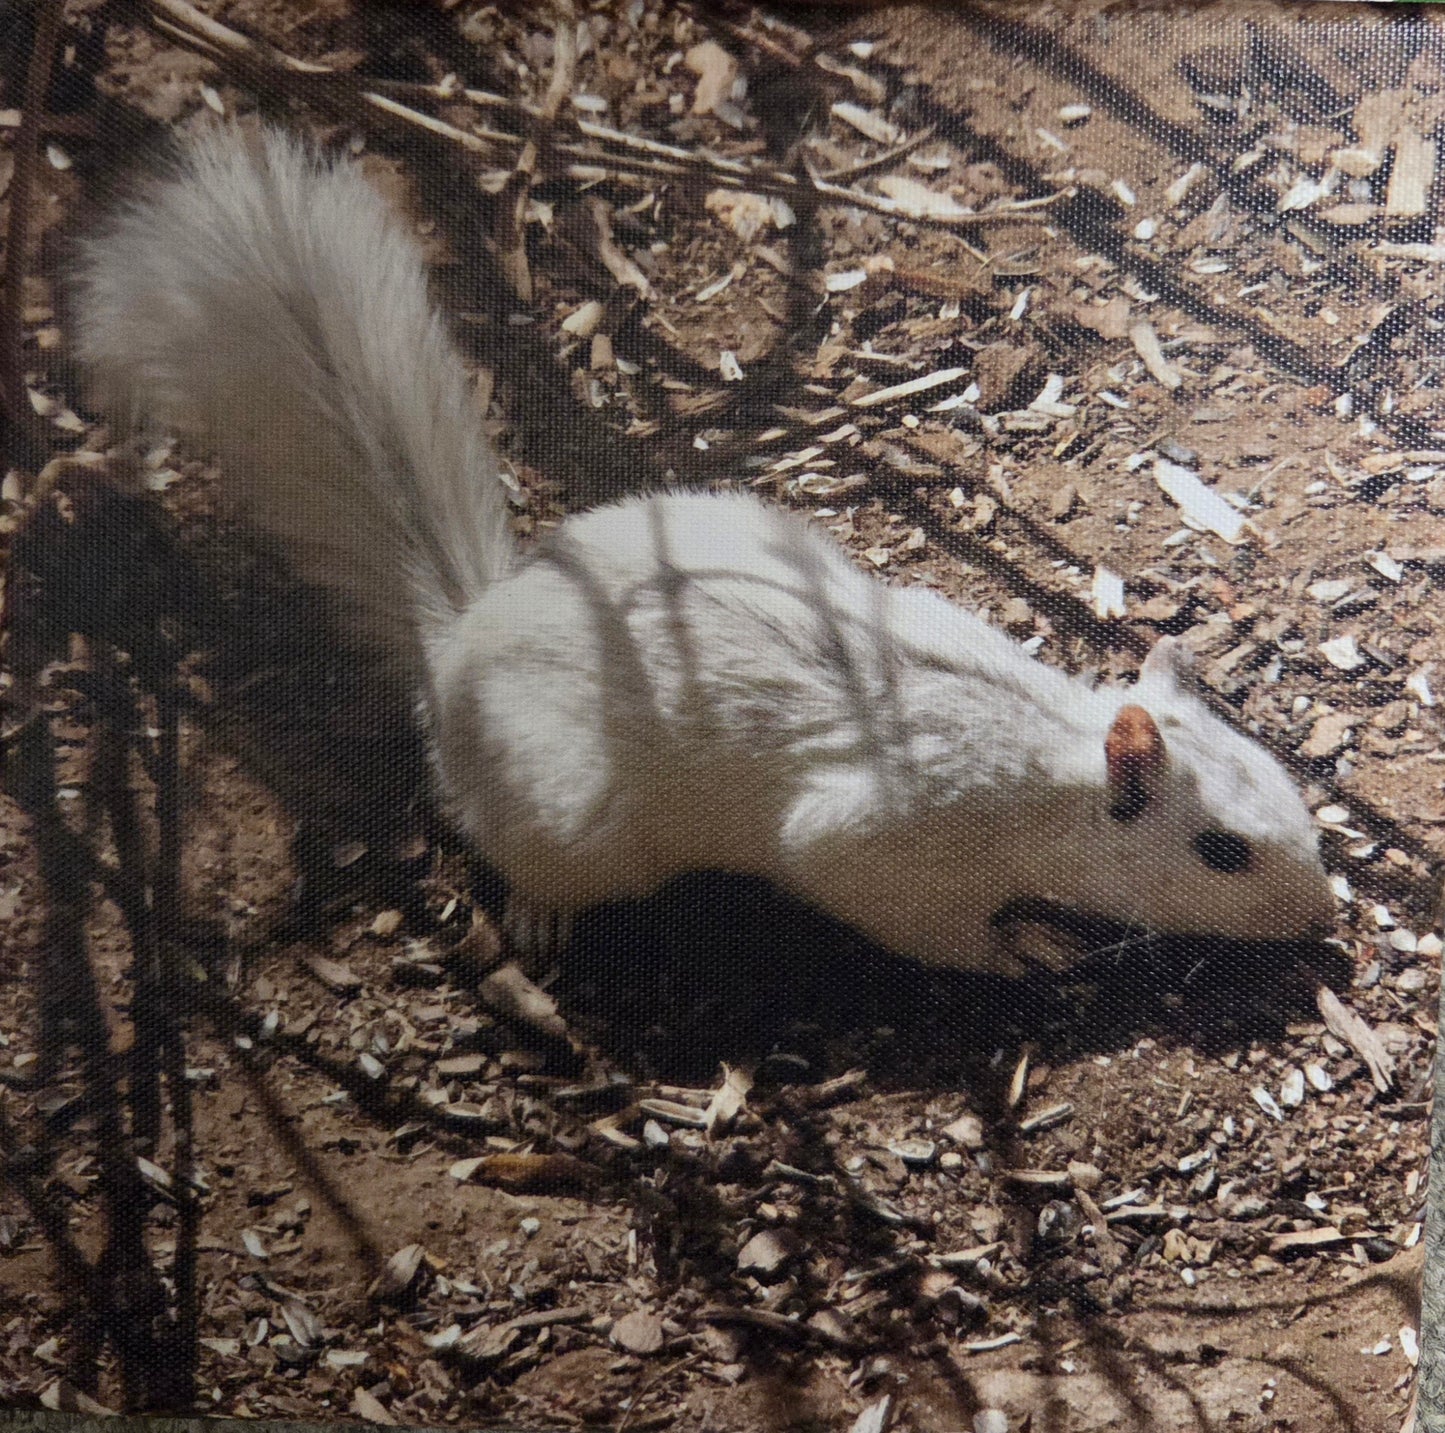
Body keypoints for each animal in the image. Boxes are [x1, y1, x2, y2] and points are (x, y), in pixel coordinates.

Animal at [70, 125, 1335, 977]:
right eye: (1220, 852)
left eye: (1287, 785)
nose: (1323, 917)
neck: (1043, 762)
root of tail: (460, 640)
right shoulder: (871, 849)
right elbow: (928, 924)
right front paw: (1022, 941)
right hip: (571, 816)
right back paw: (537, 910)